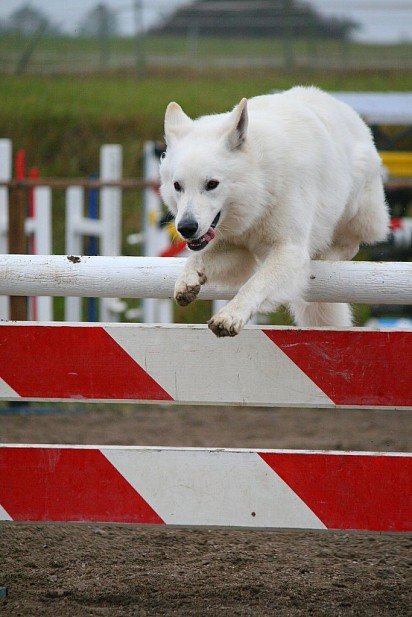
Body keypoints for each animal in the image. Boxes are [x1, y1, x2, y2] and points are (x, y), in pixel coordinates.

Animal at [159, 86, 388, 336]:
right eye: (177, 186)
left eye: (212, 184)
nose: (186, 228)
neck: (260, 187)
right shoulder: (236, 249)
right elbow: (197, 258)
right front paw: (188, 280)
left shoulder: (290, 252)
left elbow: (257, 283)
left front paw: (231, 315)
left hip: (356, 207)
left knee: (351, 243)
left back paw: (328, 254)